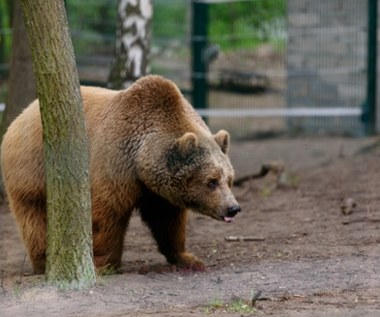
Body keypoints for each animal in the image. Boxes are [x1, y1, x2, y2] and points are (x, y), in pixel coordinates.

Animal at [1, 75, 240, 272]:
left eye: (229, 179)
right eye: (211, 181)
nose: (233, 208)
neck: (141, 160)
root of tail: (22, 114)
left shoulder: (158, 191)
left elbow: (168, 221)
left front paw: (188, 258)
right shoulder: (115, 165)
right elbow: (107, 214)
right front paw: (105, 263)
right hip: (32, 168)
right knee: (34, 215)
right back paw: (43, 260)